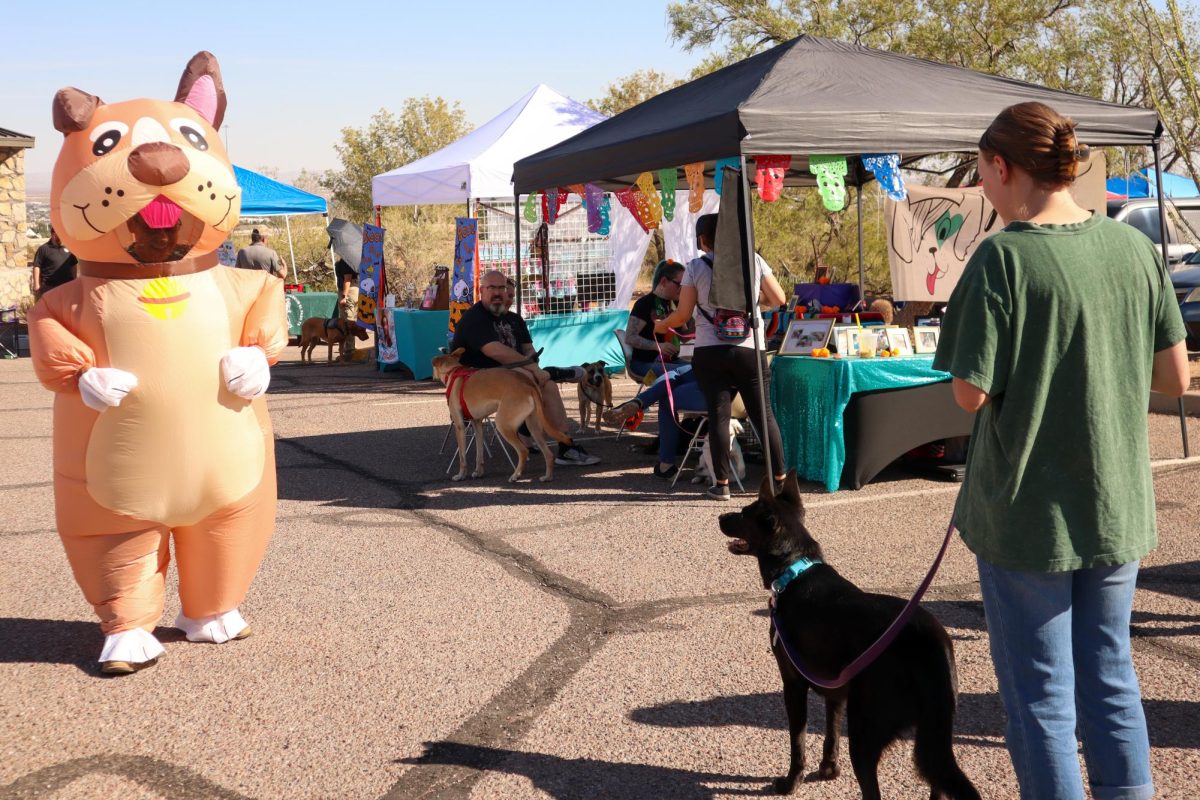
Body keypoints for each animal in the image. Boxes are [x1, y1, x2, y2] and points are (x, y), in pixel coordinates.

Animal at [432, 347, 571, 482]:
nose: (432, 377)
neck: (453, 372)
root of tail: (528, 384)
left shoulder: (459, 426)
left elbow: (462, 457)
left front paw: (461, 475)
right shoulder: (477, 424)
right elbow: (479, 453)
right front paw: (478, 472)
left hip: (503, 425)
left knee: (523, 451)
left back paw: (516, 475)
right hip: (534, 427)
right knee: (549, 454)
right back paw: (547, 477)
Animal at [715, 472, 979, 796]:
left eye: (743, 513)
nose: (720, 517)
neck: (795, 569)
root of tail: (933, 645)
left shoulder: (792, 684)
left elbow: (797, 742)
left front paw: (791, 783)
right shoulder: (836, 690)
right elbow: (831, 731)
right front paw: (829, 769)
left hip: (866, 733)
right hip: (931, 737)